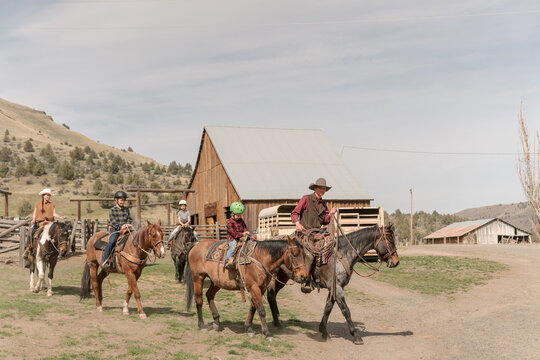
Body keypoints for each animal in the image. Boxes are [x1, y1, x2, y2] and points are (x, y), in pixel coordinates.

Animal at [266, 225, 398, 346]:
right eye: (390, 240)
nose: (396, 262)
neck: (343, 254)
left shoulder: (333, 288)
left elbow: (328, 308)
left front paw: (323, 330)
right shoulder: (338, 288)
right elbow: (345, 310)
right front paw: (356, 336)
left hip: (282, 277)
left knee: (273, 295)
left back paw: (276, 317)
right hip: (273, 276)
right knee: (271, 295)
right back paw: (277, 322)